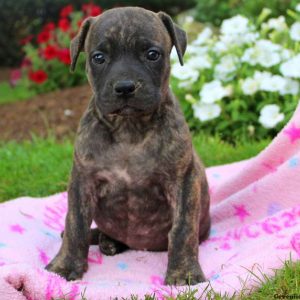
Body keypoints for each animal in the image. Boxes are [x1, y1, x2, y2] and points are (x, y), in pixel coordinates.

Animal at [47, 5, 211, 284]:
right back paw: (105, 240)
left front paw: (184, 273)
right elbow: (75, 224)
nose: (124, 87)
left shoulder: (183, 181)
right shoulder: (82, 180)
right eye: (98, 57)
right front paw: (64, 265)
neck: (129, 128)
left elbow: (182, 229)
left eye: (152, 54)